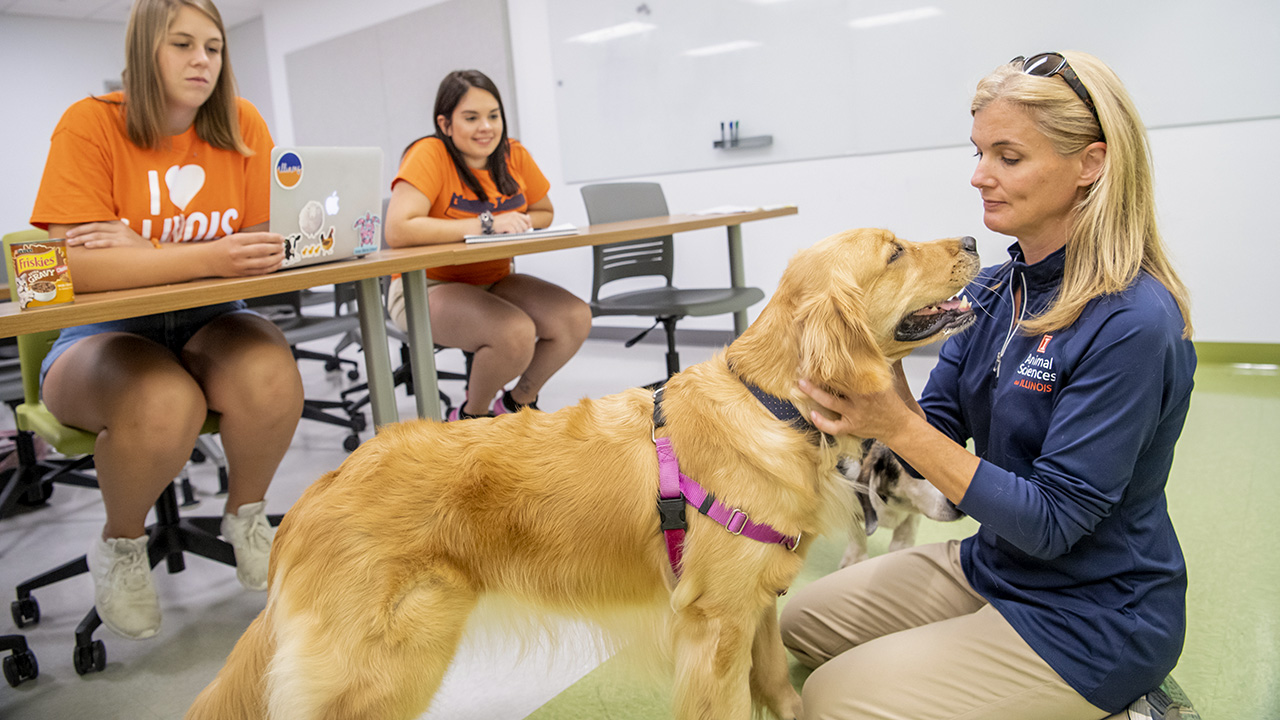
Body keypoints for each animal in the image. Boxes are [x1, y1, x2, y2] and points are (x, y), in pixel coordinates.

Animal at [185, 226, 972, 712]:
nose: (970, 240)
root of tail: (308, 501)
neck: (771, 403)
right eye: (895, 251)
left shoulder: (758, 604)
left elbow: (780, 686)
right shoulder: (714, 628)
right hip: (383, 669)